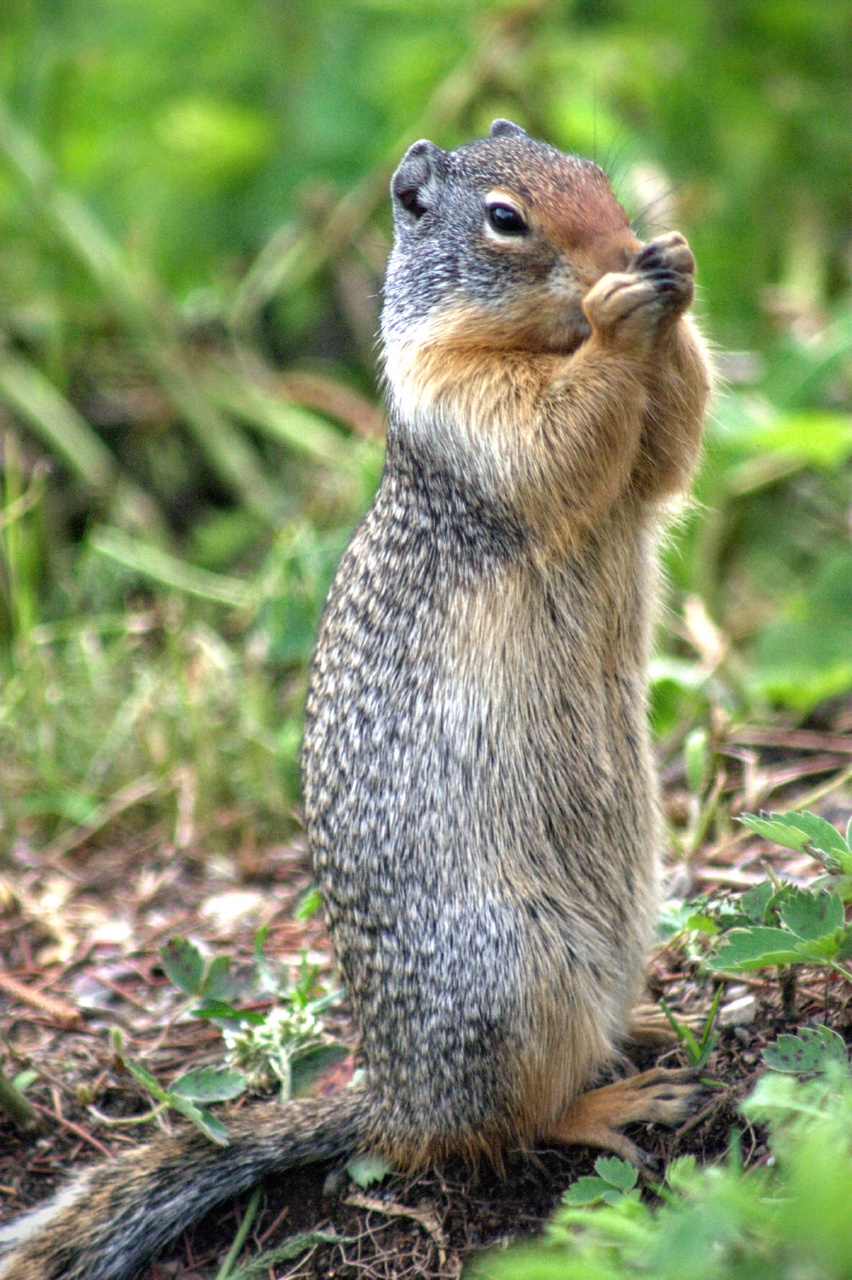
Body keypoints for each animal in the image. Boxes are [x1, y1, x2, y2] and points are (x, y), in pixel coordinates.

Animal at [0, 120, 712, 1280]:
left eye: (600, 178)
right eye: (505, 219)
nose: (625, 246)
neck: (537, 337)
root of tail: (389, 1098)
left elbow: (665, 448)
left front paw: (676, 269)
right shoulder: (462, 406)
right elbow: (557, 435)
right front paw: (621, 315)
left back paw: (640, 1030)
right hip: (511, 984)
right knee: (502, 1124)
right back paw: (620, 1100)